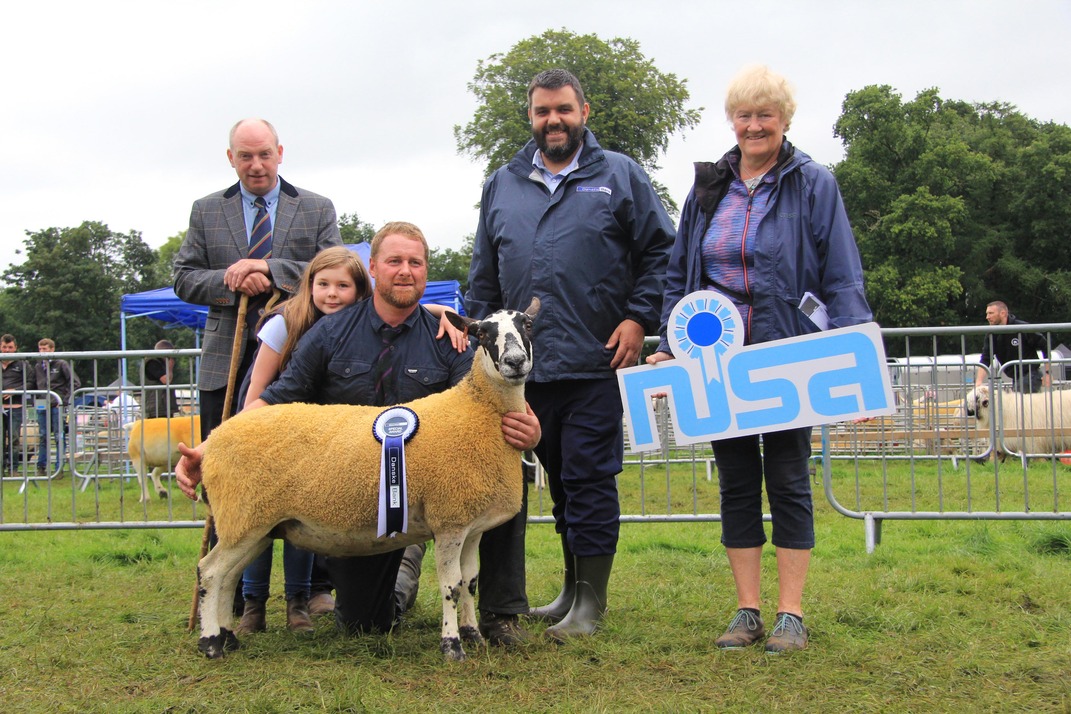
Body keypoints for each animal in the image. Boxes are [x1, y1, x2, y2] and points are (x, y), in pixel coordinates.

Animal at [195, 301, 538, 661]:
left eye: (527, 325)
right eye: (482, 333)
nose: (515, 362)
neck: (477, 409)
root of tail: (213, 441)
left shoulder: (472, 525)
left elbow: (470, 582)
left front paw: (474, 636)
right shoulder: (449, 521)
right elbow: (451, 587)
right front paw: (452, 646)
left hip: (256, 525)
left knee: (228, 577)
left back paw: (228, 636)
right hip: (242, 516)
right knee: (210, 572)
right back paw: (211, 642)